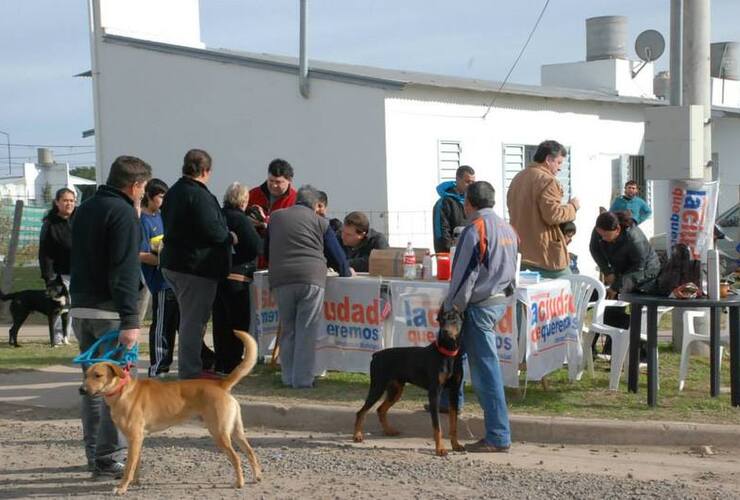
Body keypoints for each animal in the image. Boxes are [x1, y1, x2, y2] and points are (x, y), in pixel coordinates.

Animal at [83, 330, 262, 494]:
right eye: (85, 375)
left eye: (98, 375)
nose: (81, 390)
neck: (121, 391)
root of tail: (220, 384)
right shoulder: (137, 439)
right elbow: (135, 465)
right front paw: (134, 483)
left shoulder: (134, 438)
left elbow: (129, 467)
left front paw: (122, 487)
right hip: (235, 431)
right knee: (250, 452)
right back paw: (256, 477)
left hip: (219, 433)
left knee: (237, 458)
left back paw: (239, 482)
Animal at [352, 306, 462, 456]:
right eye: (441, 320)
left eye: (454, 319)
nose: (445, 331)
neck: (448, 353)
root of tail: (376, 355)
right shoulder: (434, 393)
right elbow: (437, 426)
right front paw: (440, 448)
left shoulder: (454, 392)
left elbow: (454, 423)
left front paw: (456, 445)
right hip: (377, 386)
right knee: (361, 412)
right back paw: (357, 435)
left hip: (396, 390)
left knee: (380, 409)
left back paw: (389, 430)